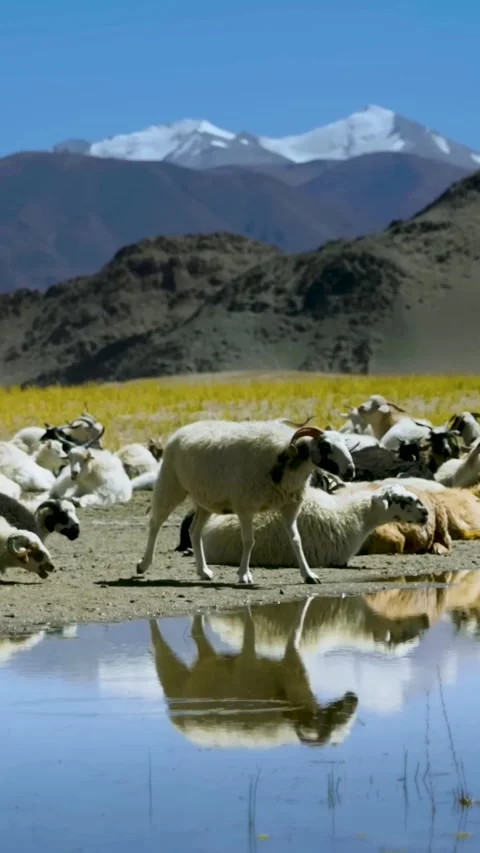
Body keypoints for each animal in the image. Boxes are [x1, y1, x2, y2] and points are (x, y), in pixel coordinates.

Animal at [136, 420, 355, 585]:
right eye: (326, 446)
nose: (351, 471)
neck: (283, 459)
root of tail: (183, 430)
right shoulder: (245, 508)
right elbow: (249, 541)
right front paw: (244, 575)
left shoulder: (290, 507)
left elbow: (296, 540)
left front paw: (309, 575)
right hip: (171, 484)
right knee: (155, 523)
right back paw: (143, 565)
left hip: (206, 501)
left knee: (194, 531)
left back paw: (203, 571)